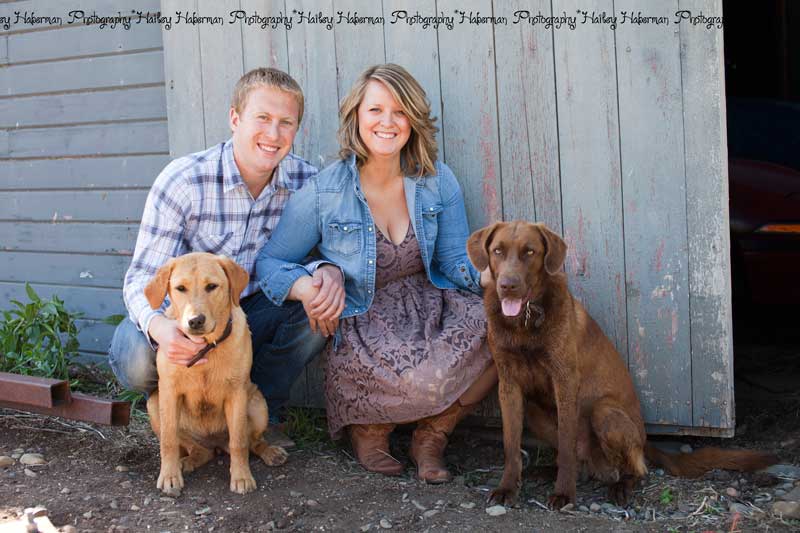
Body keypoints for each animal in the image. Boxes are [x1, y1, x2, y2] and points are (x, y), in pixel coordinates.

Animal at [144, 252, 288, 494]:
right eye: (180, 288)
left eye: (212, 286)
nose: (195, 321)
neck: (205, 347)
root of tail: (215, 444)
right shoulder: (168, 392)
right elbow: (168, 441)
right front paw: (169, 475)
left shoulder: (237, 394)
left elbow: (239, 442)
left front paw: (241, 477)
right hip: (154, 404)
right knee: (199, 450)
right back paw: (187, 462)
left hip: (258, 404)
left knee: (252, 441)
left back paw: (270, 452)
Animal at [466, 220, 780, 508]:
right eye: (497, 250)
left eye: (530, 251)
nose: (508, 286)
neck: (524, 322)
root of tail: (645, 439)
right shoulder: (508, 384)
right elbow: (511, 445)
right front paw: (507, 488)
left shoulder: (564, 381)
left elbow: (566, 445)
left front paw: (564, 493)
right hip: (534, 411)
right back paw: (547, 471)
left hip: (605, 413)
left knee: (635, 469)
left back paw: (619, 487)